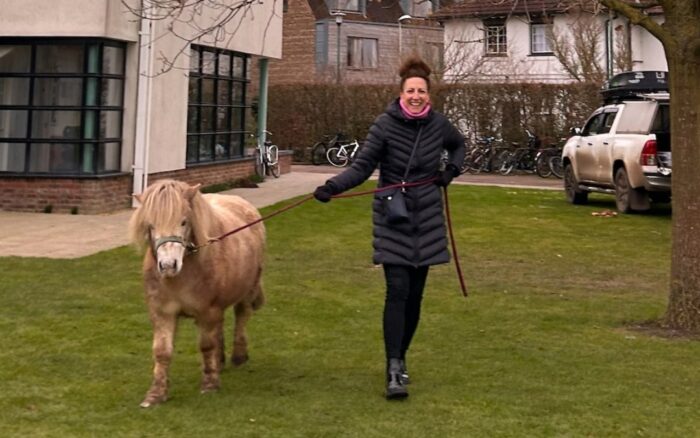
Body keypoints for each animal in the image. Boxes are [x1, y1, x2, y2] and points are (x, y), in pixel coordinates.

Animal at [128, 179, 265, 408]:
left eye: (184, 222)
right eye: (151, 224)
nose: (168, 266)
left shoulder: (207, 311)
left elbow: (206, 345)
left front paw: (209, 384)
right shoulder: (162, 313)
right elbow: (162, 351)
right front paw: (156, 394)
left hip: (248, 289)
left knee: (241, 316)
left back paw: (238, 356)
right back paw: (220, 362)